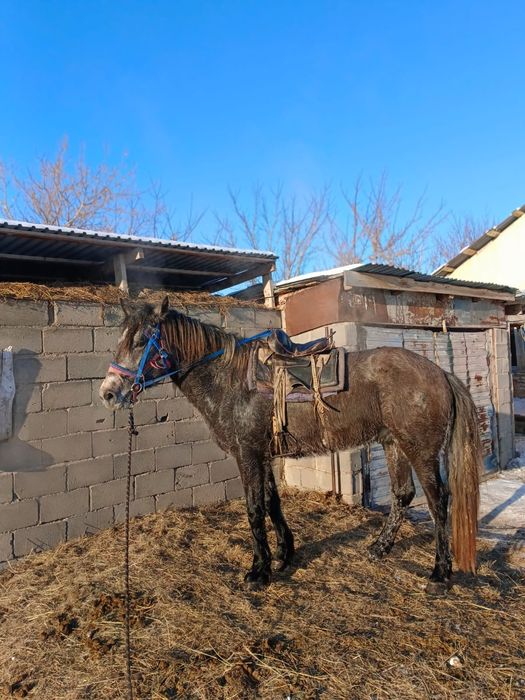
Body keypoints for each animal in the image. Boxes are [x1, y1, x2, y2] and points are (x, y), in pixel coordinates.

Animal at [100, 297, 481, 595]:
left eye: (142, 341)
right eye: (121, 339)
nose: (109, 392)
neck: (231, 381)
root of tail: (440, 373)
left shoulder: (248, 454)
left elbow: (254, 509)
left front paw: (258, 571)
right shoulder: (263, 455)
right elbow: (272, 503)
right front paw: (284, 554)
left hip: (421, 451)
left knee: (438, 501)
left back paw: (439, 574)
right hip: (394, 444)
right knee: (402, 495)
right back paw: (378, 548)